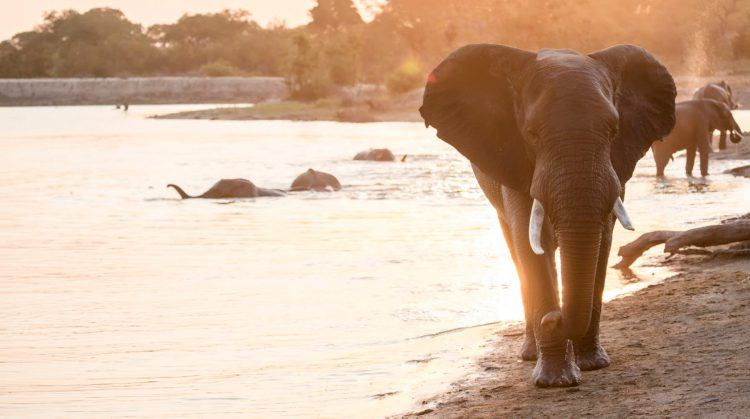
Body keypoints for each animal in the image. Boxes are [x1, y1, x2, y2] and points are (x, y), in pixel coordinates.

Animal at [420, 45, 680, 388]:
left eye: (613, 131)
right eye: (532, 134)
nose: (552, 318)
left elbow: (603, 241)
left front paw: (593, 364)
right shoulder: (514, 160)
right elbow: (529, 243)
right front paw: (554, 381)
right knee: (516, 250)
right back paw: (531, 352)